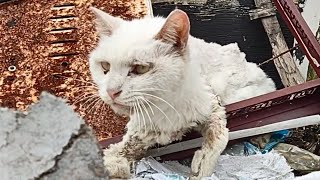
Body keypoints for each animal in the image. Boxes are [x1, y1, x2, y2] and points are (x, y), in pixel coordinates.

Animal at [89, 6, 276, 179]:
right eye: (105, 66)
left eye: (141, 68)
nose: (111, 91)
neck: (163, 103)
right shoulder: (143, 128)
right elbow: (124, 147)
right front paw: (115, 164)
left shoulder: (212, 105)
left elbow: (219, 137)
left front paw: (201, 167)